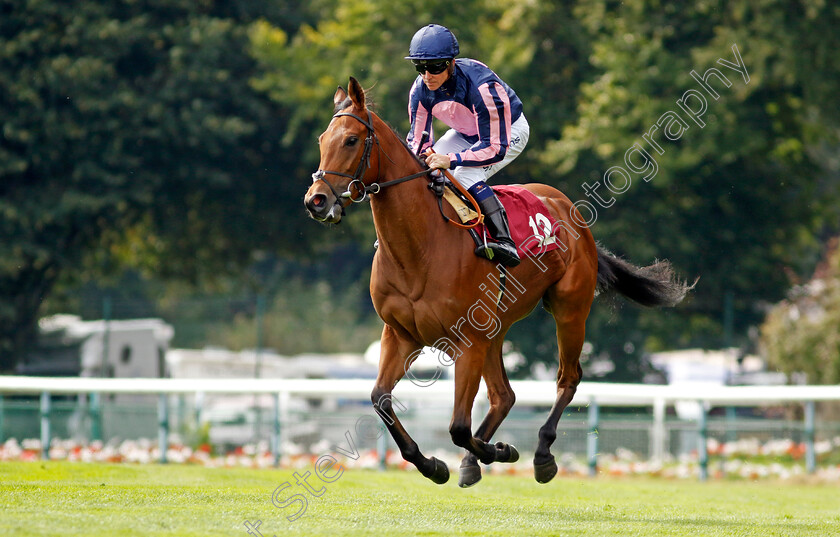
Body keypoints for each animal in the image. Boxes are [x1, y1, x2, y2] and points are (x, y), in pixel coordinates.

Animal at [306, 76, 692, 486]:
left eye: (351, 140)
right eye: (321, 139)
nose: (316, 200)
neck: (419, 247)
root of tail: (569, 210)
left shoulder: (466, 341)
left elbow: (459, 427)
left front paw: (498, 451)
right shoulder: (401, 334)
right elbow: (380, 399)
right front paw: (435, 465)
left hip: (568, 309)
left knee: (567, 378)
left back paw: (540, 454)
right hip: (495, 327)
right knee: (504, 395)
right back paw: (473, 462)